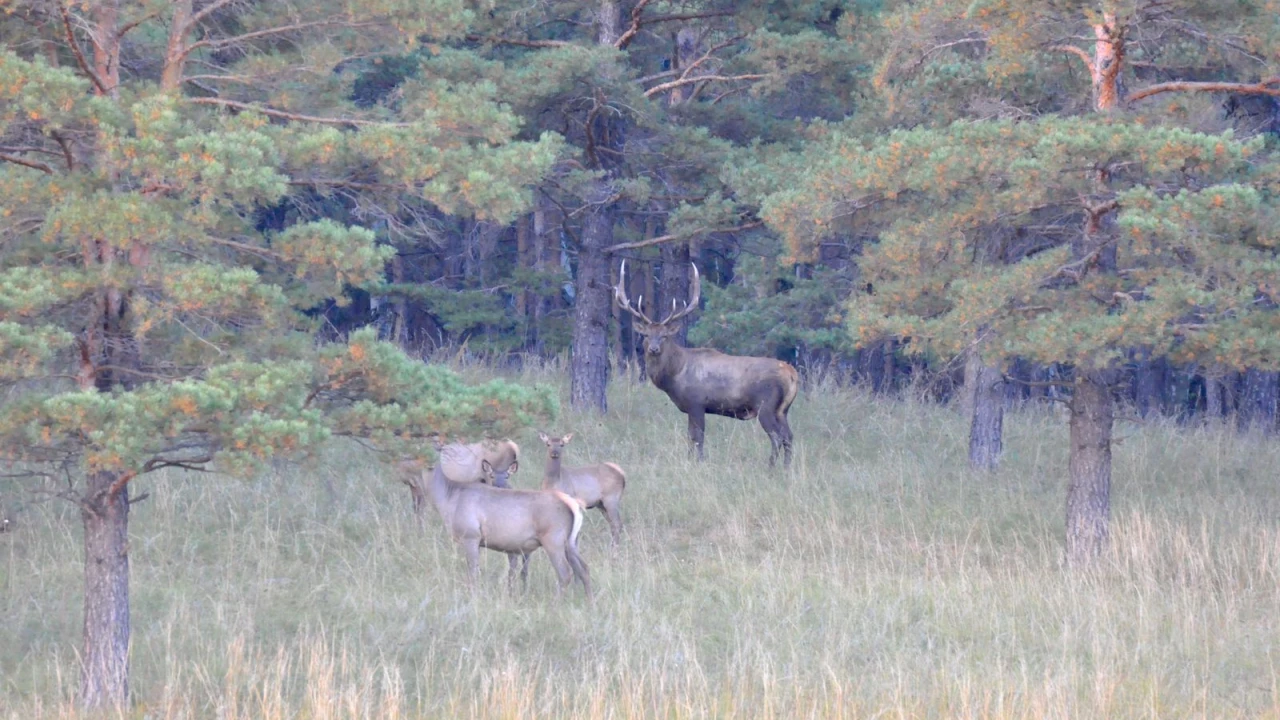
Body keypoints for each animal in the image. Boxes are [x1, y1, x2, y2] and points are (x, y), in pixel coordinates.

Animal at [611, 262, 798, 466]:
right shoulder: (691, 408)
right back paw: (787, 467)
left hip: (765, 405)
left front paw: (699, 462)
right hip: (783, 410)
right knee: (789, 436)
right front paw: (690, 460)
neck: (675, 375)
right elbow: (690, 437)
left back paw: (771, 466)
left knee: (777, 437)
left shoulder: (697, 403)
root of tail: (791, 373)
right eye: (646, 335)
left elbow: (698, 438)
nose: (653, 349)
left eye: (665, 336)